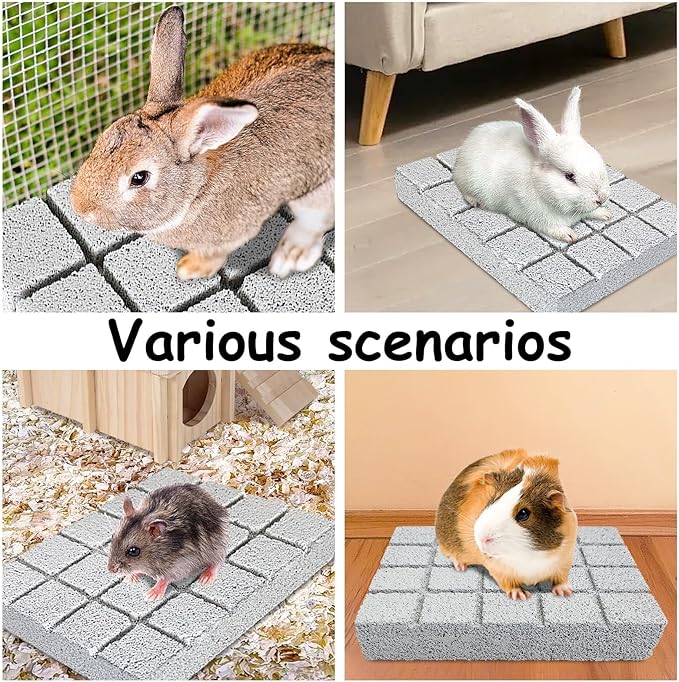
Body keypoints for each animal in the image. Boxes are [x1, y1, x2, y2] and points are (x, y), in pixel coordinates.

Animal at [70, 6, 334, 280]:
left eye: (139, 178)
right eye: (102, 138)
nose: (80, 206)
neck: (196, 189)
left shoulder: (231, 233)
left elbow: (213, 255)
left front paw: (187, 269)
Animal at [436, 449, 577, 601]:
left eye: (523, 513)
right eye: (493, 499)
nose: (482, 539)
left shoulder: (565, 560)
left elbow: (561, 579)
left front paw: (565, 592)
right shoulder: (499, 570)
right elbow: (509, 583)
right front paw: (520, 595)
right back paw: (461, 567)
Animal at [453, 87, 611, 243]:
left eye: (598, 159)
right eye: (569, 176)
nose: (601, 198)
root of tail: (469, 140)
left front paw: (605, 214)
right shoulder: (534, 217)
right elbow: (551, 228)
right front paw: (569, 235)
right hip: (468, 181)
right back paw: (475, 202)